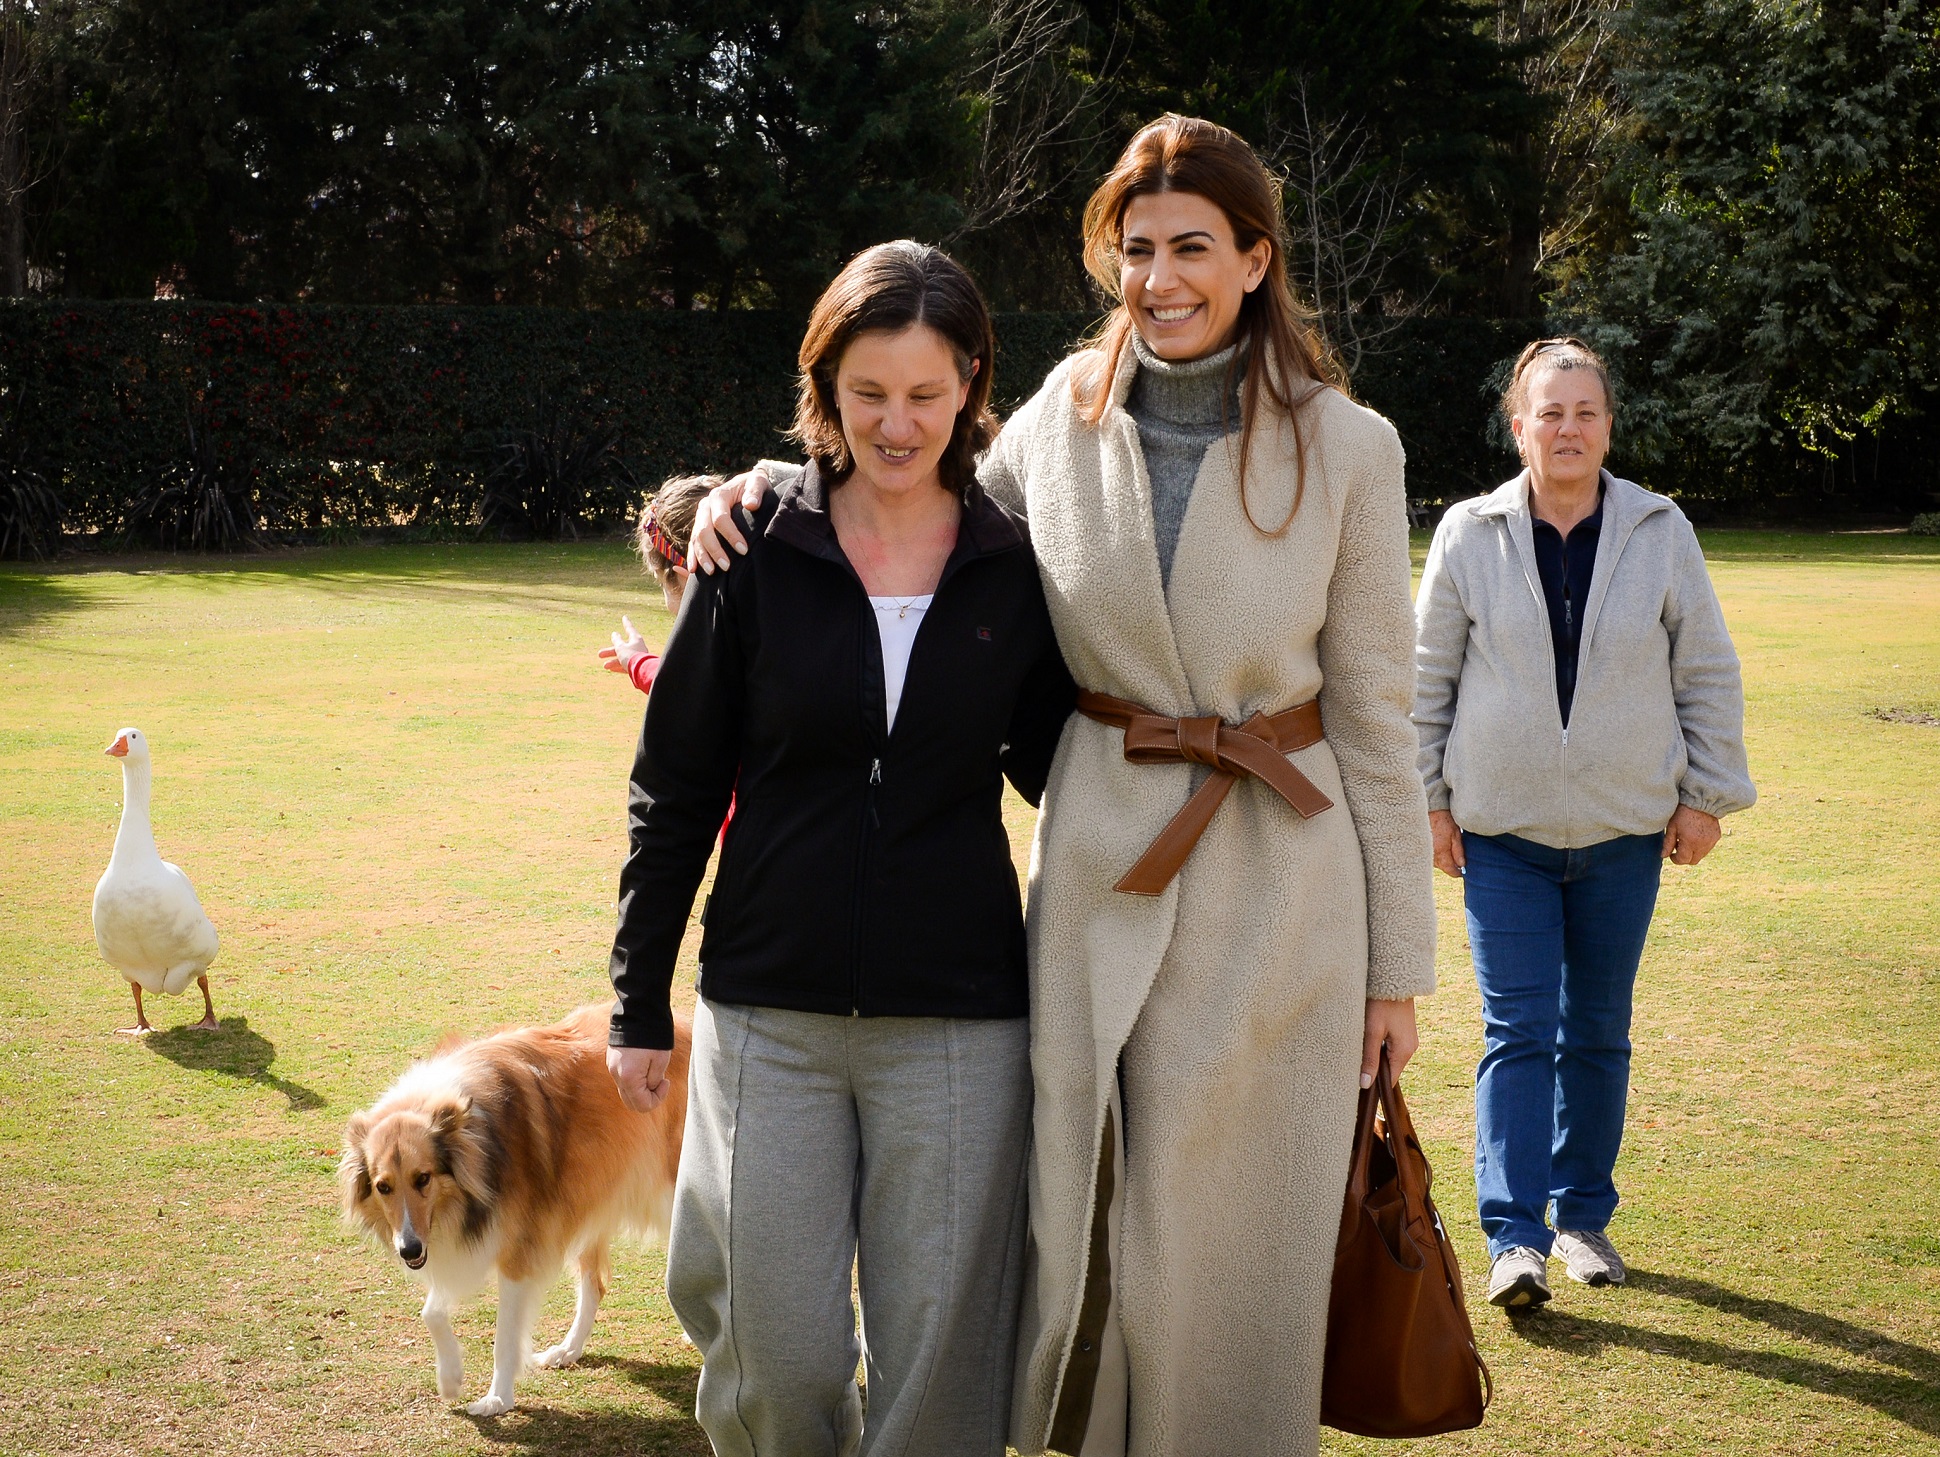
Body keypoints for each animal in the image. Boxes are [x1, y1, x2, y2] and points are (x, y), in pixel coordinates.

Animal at [341, 1001, 690, 1412]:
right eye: (383, 1186)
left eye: (422, 1178)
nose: (407, 1250)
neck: (474, 1137)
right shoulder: (455, 1241)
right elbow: (431, 1310)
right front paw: (450, 1378)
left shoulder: (517, 1252)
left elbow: (505, 1338)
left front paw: (497, 1398)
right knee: (595, 1284)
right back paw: (567, 1350)